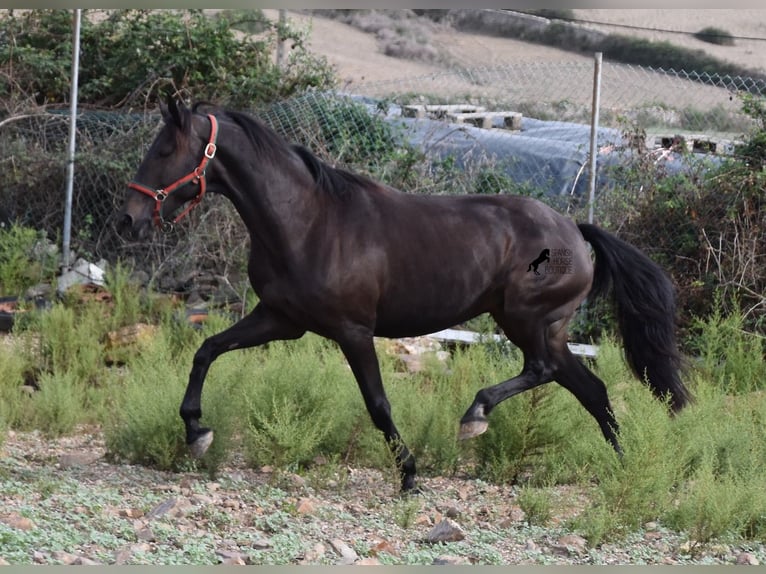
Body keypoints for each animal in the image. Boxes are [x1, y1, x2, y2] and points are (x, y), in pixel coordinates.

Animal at [117, 97, 692, 492]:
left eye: (165, 149)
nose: (129, 218)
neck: (307, 222)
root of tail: (574, 230)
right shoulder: (281, 318)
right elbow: (206, 350)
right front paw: (197, 431)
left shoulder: (352, 331)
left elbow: (377, 403)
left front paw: (410, 475)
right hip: (544, 327)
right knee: (589, 388)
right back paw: (625, 467)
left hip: (526, 320)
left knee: (544, 371)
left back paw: (475, 416)